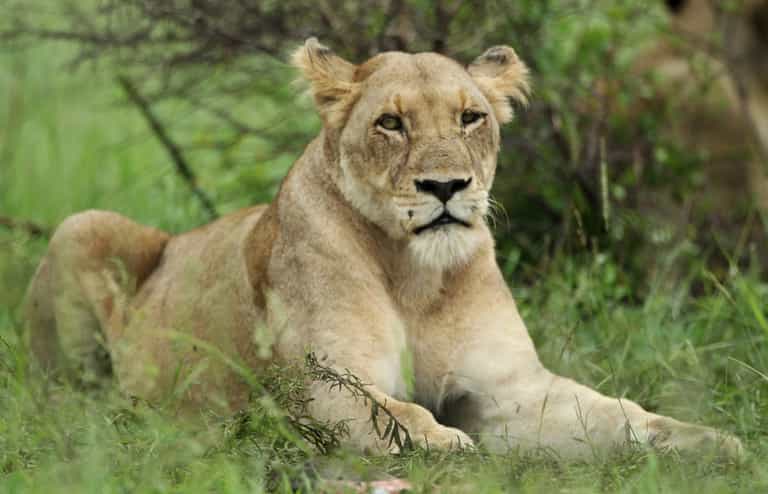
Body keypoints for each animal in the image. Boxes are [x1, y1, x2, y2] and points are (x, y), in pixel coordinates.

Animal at [25, 38, 743, 459]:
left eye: (471, 118)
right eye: (391, 123)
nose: (446, 186)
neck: (417, 277)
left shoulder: (510, 388)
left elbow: (616, 413)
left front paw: (708, 441)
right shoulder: (310, 387)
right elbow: (397, 415)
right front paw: (449, 448)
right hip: (81, 227)